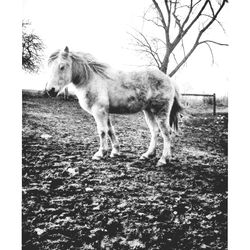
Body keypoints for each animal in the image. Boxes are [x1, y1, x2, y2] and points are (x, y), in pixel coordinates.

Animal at [45, 46, 183, 166]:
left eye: (62, 66)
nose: (50, 90)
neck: (91, 79)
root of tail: (169, 79)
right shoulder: (105, 112)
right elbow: (110, 130)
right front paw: (115, 151)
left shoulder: (99, 111)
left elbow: (102, 131)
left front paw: (100, 153)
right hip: (148, 111)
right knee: (155, 131)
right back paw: (148, 154)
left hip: (161, 111)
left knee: (166, 132)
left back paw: (164, 159)